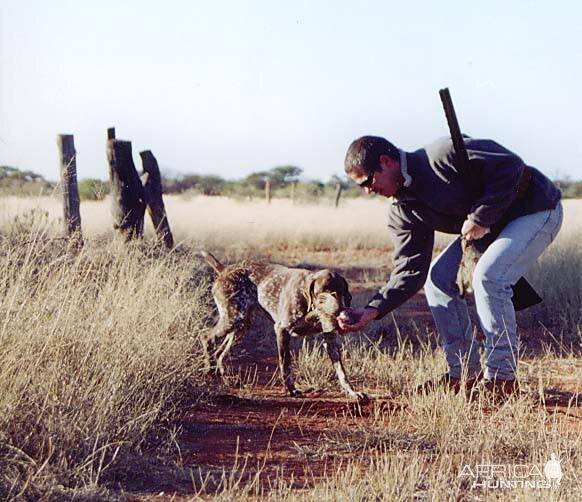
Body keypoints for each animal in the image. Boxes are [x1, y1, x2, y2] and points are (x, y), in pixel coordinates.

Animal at [198, 253, 368, 402]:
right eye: (324, 292)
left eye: (342, 292)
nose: (339, 310)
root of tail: (224, 269)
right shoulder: (282, 330)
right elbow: (285, 364)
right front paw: (291, 390)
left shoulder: (330, 340)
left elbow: (342, 372)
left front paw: (352, 392)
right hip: (233, 319)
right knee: (206, 337)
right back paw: (209, 371)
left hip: (241, 327)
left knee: (220, 353)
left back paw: (224, 377)